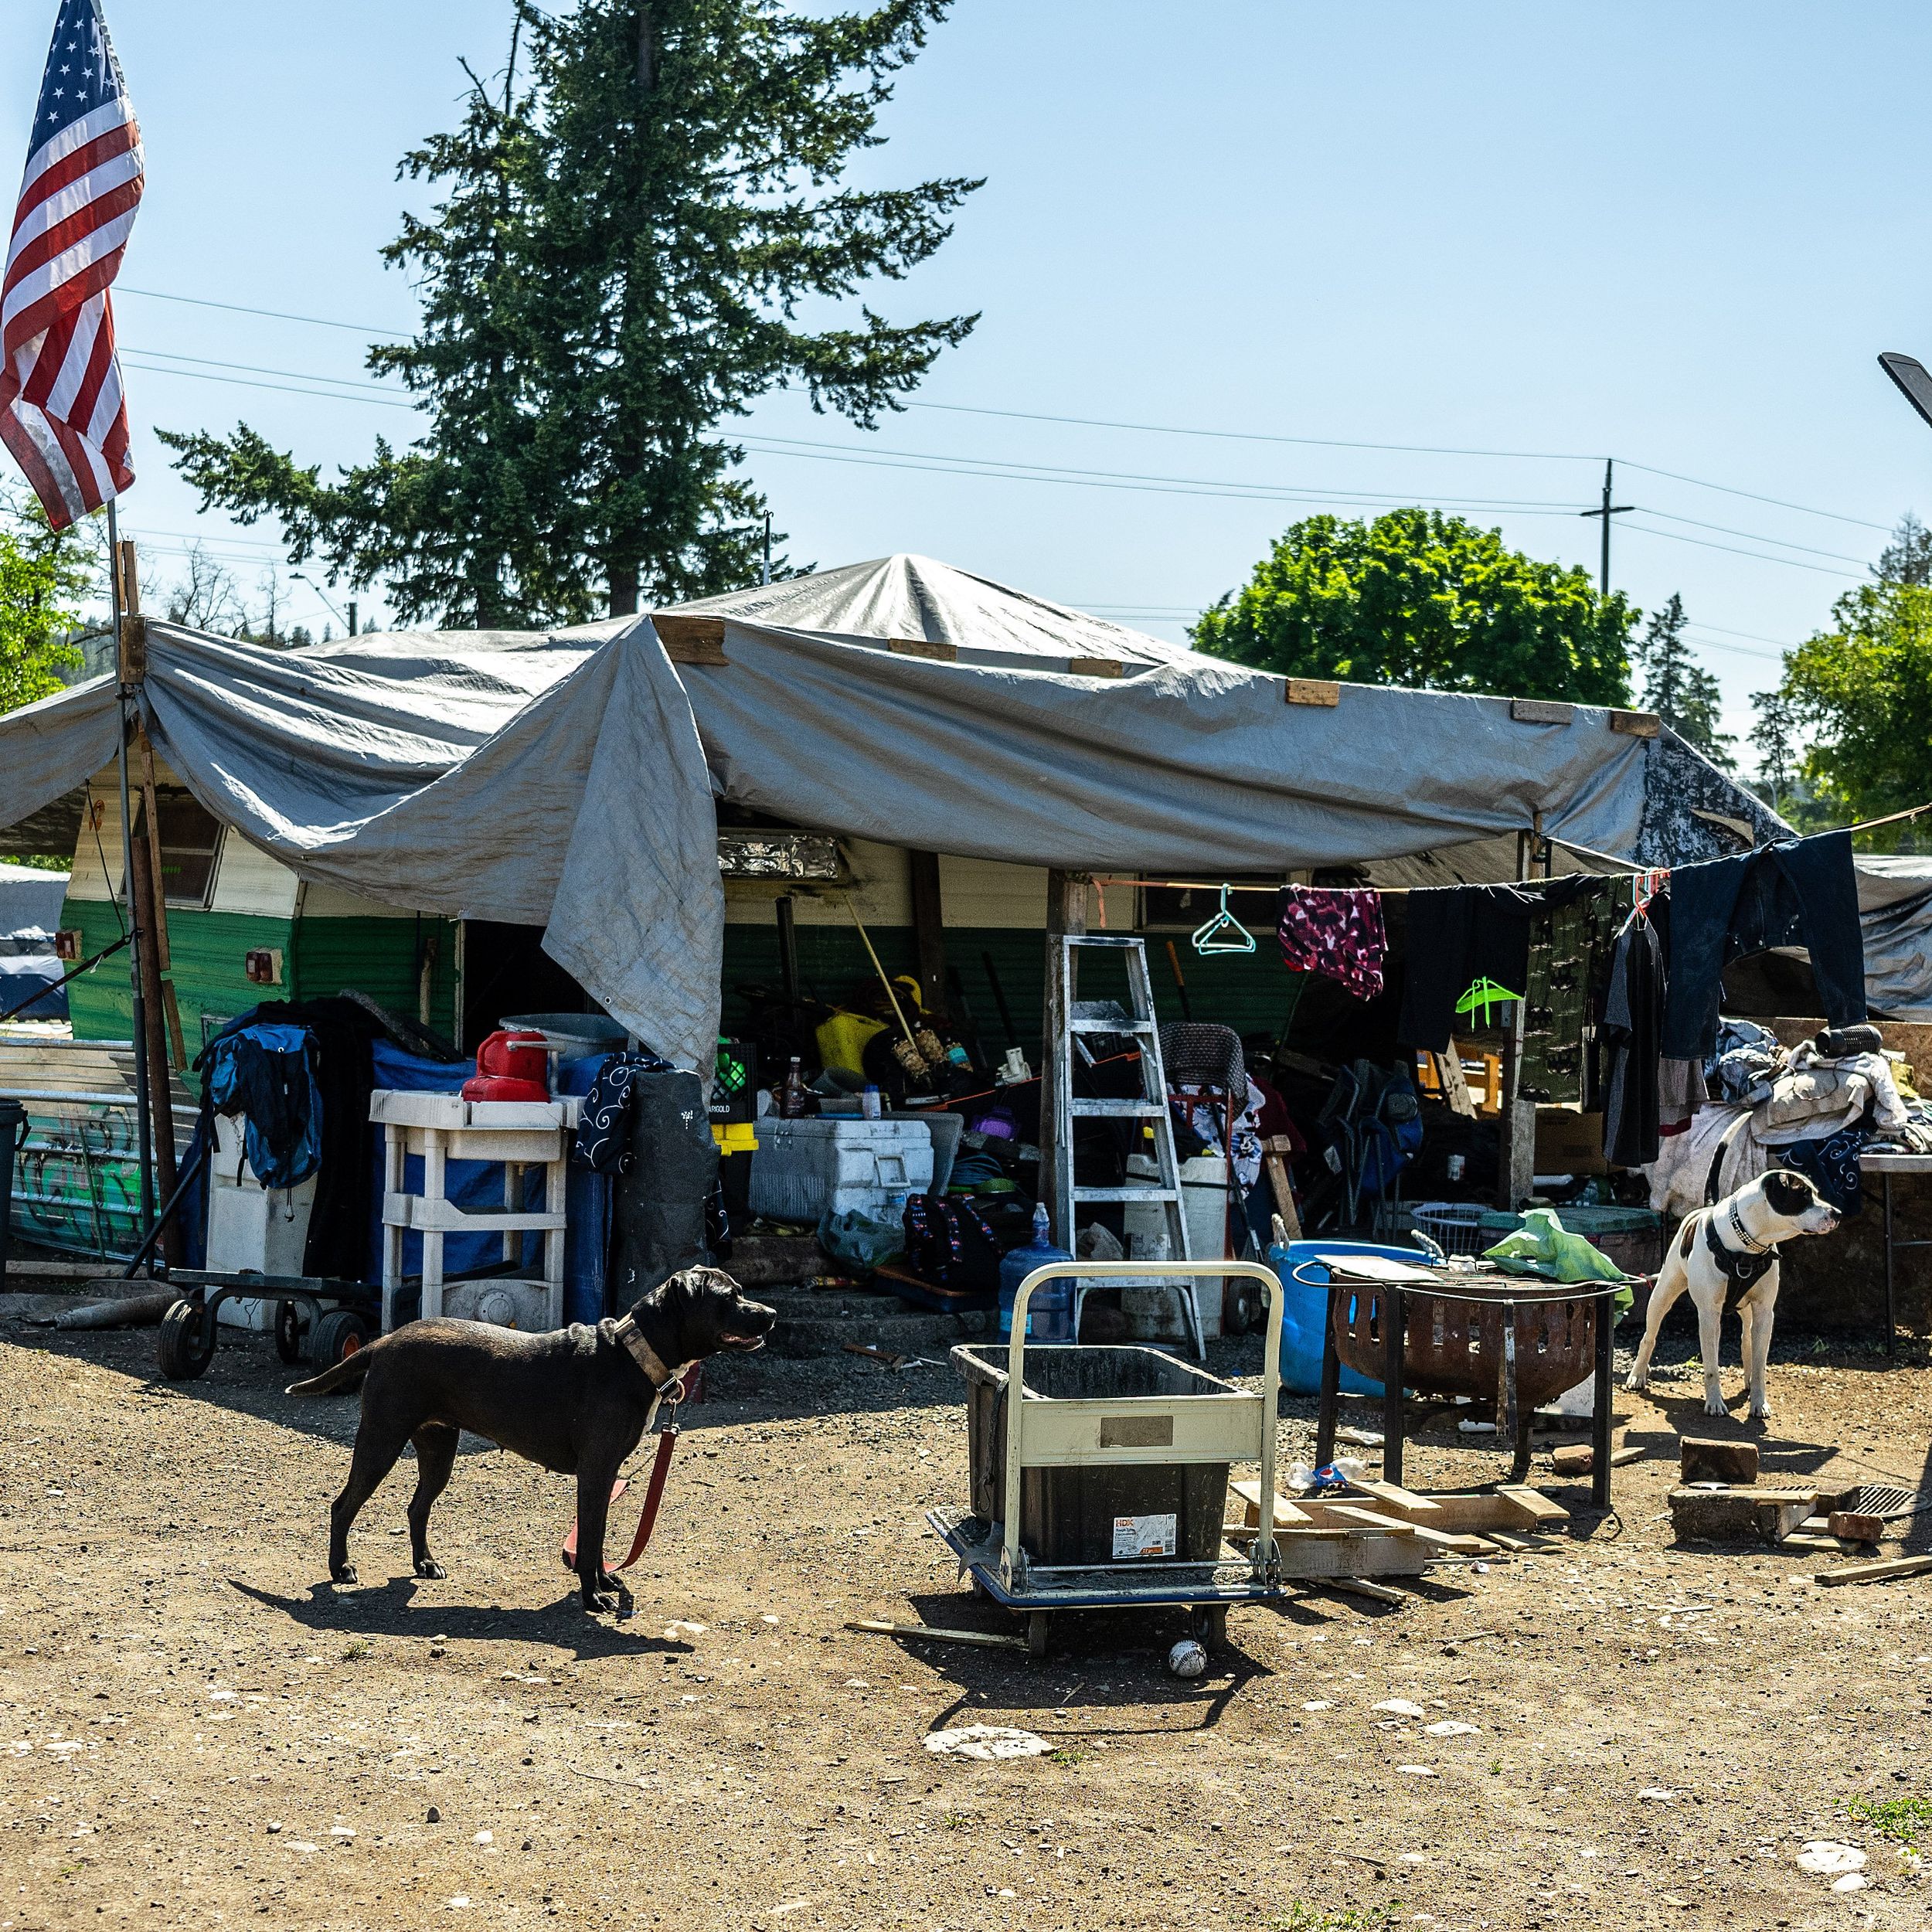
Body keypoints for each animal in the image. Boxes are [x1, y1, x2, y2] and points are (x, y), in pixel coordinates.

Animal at [286, 1275, 769, 1607]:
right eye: (729, 1297)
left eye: (740, 1291)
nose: (771, 1314)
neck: (632, 1355)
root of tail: (385, 1340)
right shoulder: (596, 1472)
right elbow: (591, 1540)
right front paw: (594, 1596)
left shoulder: (605, 1475)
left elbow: (597, 1539)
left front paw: (605, 1583)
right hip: (381, 1440)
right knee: (343, 1505)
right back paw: (340, 1568)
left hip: (438, 1450)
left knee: (416, 1507)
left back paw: (424, 1563)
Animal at [1623, 1159, 1832, 1422]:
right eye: (1803, 1195)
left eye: (1816, 1193)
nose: (1837, 1214)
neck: (1746, 1246)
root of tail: (1705, 1207)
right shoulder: (1708, 1314)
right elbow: (1712, 1366)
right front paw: (1714, 1403)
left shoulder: (1765, 1312)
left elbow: (1760, 1365)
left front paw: (1759, 1402)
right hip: (1663, 1294)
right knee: (1649, 1337)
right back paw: (1637, 1375)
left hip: (1745, 1311)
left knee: (1746, 1341)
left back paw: (1748, 1379)